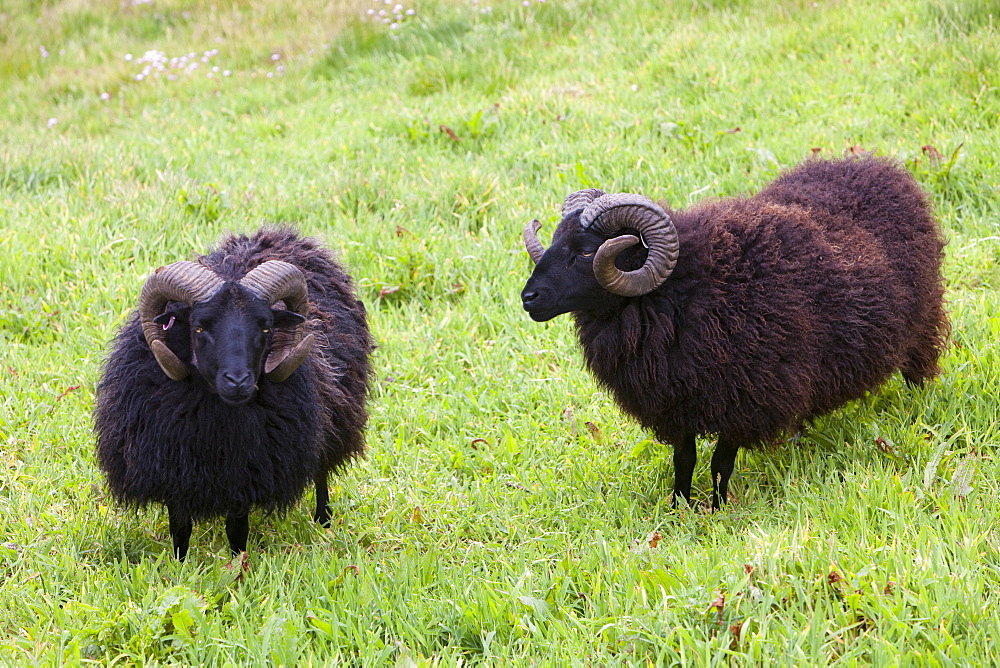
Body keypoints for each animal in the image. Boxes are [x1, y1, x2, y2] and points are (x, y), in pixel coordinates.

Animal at [94, 228, 372, 560]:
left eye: (265, 327)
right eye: (199, 328)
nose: (238, 381)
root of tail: (279, 234)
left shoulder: (245, 475)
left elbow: (237, 530)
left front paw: (240, 562)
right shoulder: (173, 469)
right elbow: (180, 528)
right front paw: (180, 563)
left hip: (335, 418)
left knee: (321, 472)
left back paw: (324, 521)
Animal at [520, 157, 948, 508]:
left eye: (585, 252)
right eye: (554, 240)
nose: (528, 298)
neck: (683, 290)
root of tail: (880, 167)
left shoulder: (745, 401)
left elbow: (720, 462)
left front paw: (717, 508)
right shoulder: (674, 402)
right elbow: (684, 459)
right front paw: (678, 509)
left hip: (923, 320)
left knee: (919, 368)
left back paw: (918, 408)